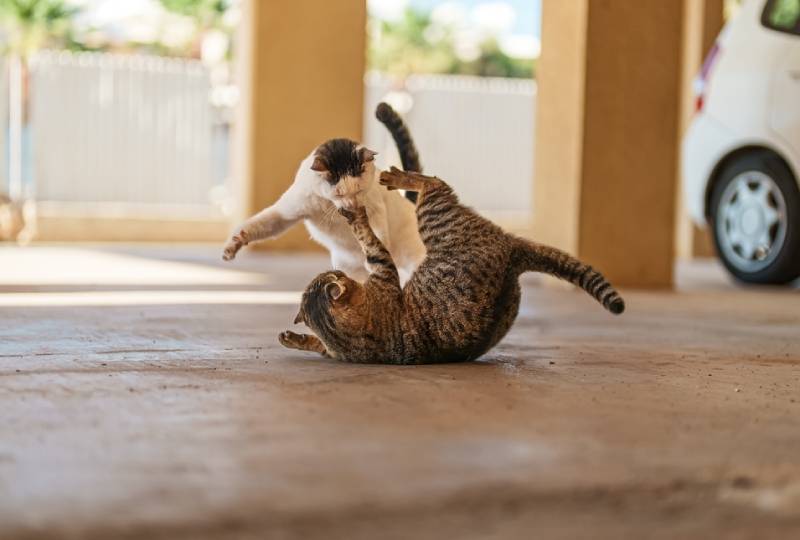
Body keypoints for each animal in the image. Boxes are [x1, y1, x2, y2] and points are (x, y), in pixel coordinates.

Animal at [222, 103, 424, 284]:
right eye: (339, 194)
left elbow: (377, 234)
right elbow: (259, 224)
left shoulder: (376, 210)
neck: (330, 205)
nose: (352, 206)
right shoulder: (286, 213)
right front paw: (235, 243)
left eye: (358, 190)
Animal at [282, 167, 624, 364]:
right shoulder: (382, 270)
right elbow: (369, 241)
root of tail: (510, 248)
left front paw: (293, 339)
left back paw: (397, 176)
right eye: (334, 274)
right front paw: (299, 339)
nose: (337, 273)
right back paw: (398, 178)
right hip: (435, 216)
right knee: (435, 184)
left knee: (434, 182)